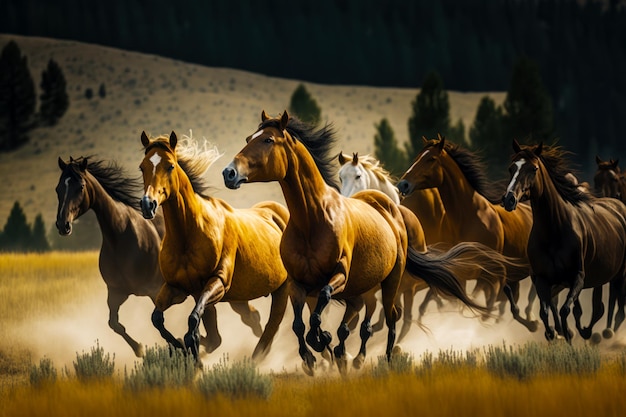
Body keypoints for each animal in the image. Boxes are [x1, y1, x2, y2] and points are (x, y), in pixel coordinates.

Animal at [54, 154, 266, 356]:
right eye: (58, 188)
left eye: (80, 187)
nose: (63, 225)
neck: (121, 237)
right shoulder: (116, 292)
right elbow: (114, 323)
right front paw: (140, 349)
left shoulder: (155, 291)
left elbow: (161, 325)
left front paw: (180, 345)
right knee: (222, 334)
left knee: (242, 321)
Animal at [138, 132, 288, 360]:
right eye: (142, 167)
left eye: (170, 165)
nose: (148, 205)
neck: (188, 236)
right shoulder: (179, 288)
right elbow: (157, 318)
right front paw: (181, 346)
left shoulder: (217, 282)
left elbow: (193, 321)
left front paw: (192, 348)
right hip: (238, 297)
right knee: (251, 320)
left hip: (282, 290)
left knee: (272, 326)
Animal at [394, 136, 536, 332]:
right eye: (416, 158)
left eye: (431, 159)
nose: (402, 184)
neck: (466, 217)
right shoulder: (459, 273)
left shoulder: (488, 272)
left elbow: (478, 304)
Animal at [500, 140, 624, 342]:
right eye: (512, 168)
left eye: (533, 169)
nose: (509, 199)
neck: (554, 231)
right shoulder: (542, 279)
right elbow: (545, 310)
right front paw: (552, 332)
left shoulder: (577, 277)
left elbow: (566, 309)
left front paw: (567, 334)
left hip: (617, 274)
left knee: (608, 305)